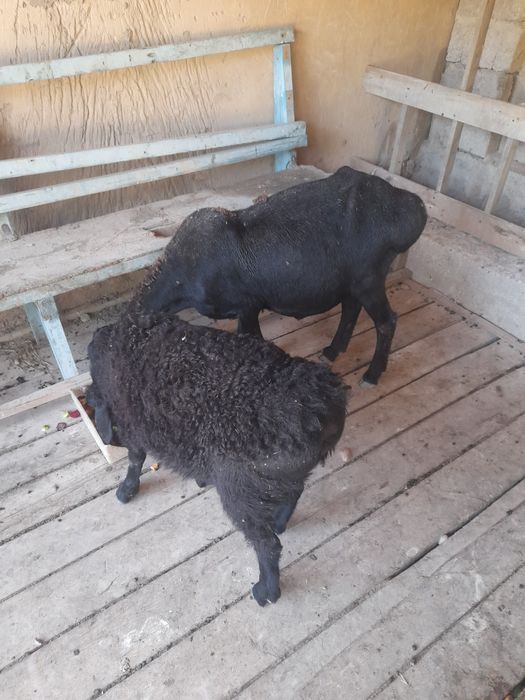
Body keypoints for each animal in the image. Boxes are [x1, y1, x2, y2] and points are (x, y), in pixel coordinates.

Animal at [87, 311, 347, 606]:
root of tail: (319, 408)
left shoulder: (133, 424)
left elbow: (135, 458)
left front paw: (126, 490)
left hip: (240, 488)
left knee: (267, 544)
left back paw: (266, 591)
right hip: (275, 477)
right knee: (295, 491)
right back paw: (280, 523)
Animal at [134, 166, 427, 384]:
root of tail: (414, 206)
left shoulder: (246, 305)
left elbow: (253, 339)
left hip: (369, 279)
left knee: (386, 322)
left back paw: (372, 374)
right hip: (352, 280)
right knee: (351, 309)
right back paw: (333, 351)